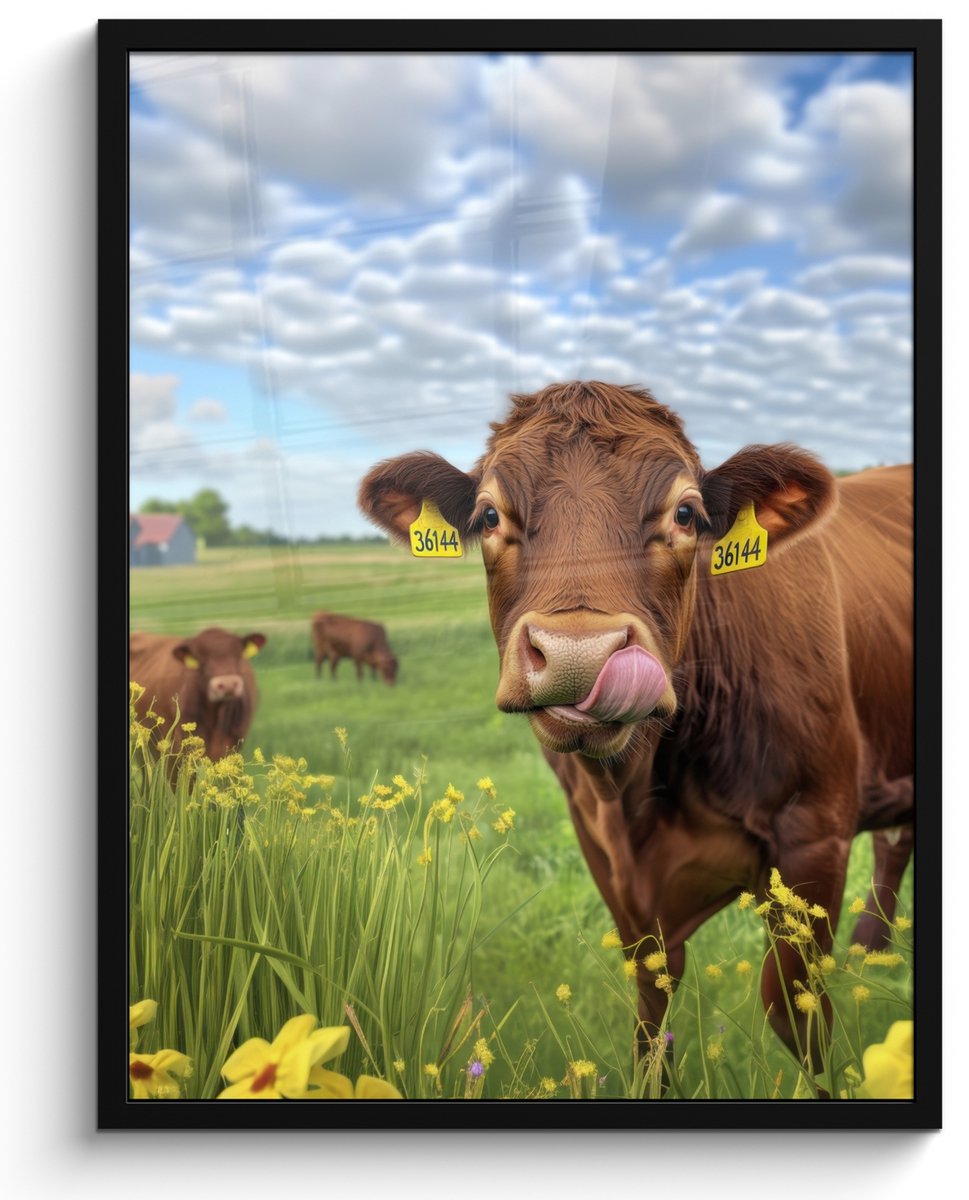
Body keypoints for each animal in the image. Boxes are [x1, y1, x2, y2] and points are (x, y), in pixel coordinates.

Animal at [358, 380, 912, 1070]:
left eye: (687, 514)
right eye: (488, 517)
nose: (579, 654)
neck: (640, 793)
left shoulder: (816, 832)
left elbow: (795, 1009)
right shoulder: (605, 852)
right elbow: (652, 1006)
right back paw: (875, 947)